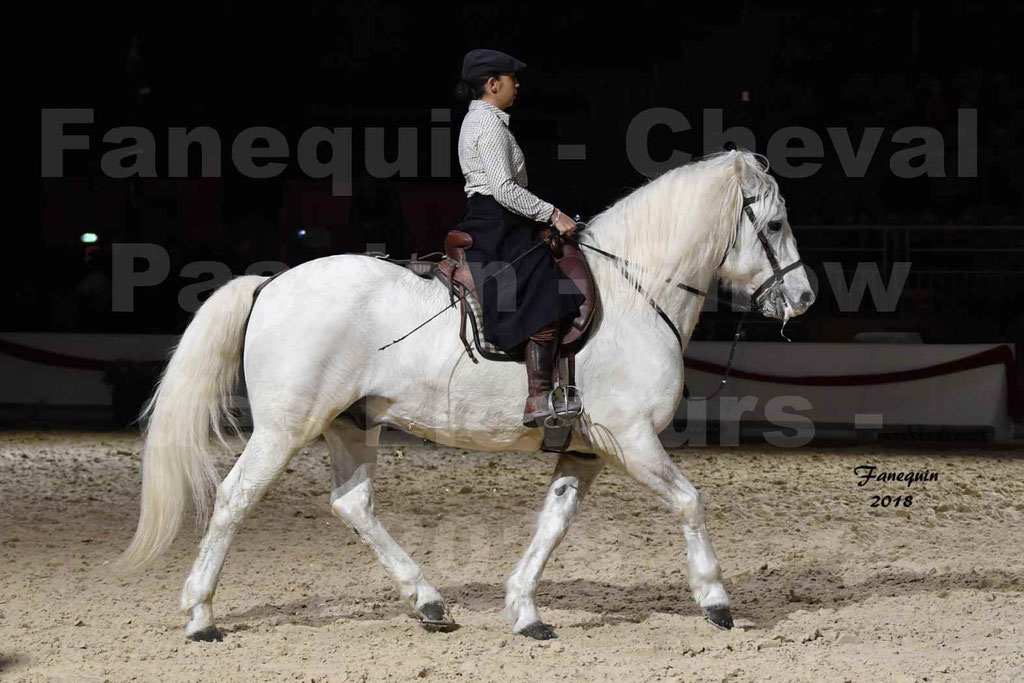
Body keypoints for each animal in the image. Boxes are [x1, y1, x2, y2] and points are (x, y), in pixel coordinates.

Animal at [114, 148, 815, 643]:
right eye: (776, 222)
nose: (804, 298)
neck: (636, 290)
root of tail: (271, 284)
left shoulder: (586, 450)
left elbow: (553, 524)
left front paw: (526, 611)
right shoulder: (633, 439)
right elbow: (691, 502)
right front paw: (716, 600)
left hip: (351, 423)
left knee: (352, 505)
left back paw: (428, 602)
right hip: (286, 427)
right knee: (235, 499)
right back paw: (201, 617)